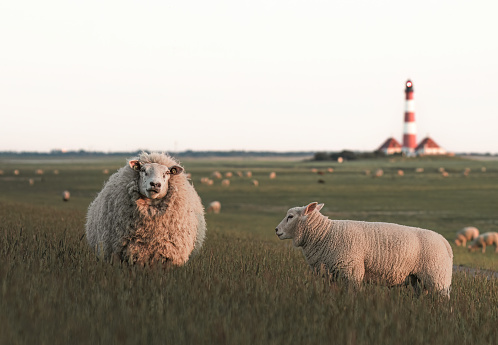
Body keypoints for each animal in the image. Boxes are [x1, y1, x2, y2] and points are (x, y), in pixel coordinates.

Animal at [274, 202, 454, 296]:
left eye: (290, 217)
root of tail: (444, 241)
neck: (325, 234)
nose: (276, 230)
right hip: (419, 280)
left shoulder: (351, 272)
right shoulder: (331, 276)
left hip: (437, 278)